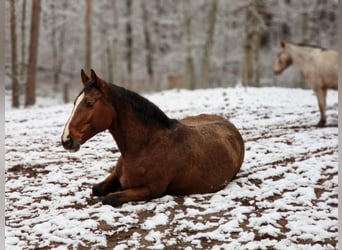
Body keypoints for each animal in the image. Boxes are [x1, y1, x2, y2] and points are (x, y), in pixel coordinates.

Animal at [60, 69, 243, 207]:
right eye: (75, 102)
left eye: (90, 103)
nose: (66, 140)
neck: (146, 146)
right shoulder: (116, 175)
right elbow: (96, 189)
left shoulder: (151, 190)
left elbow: (110, 197)